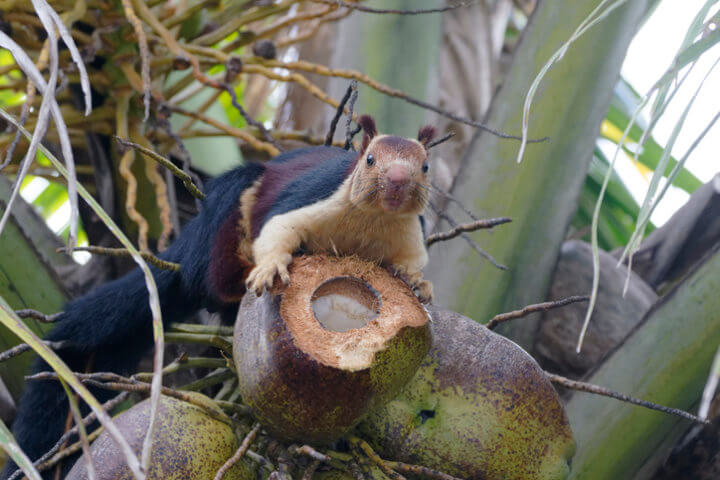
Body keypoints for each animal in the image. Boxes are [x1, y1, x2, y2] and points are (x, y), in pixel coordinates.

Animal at [1, 114, 438, 479]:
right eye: (370, 159)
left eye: (425, 166)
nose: (398, 181)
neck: (371, 222)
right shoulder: (313, 199)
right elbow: (279, 229)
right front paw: (270, 268)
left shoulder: (410, 237)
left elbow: (413, 267)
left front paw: (420, 286)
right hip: (225, 219)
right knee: (211, 277)